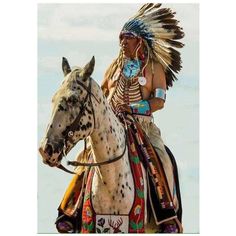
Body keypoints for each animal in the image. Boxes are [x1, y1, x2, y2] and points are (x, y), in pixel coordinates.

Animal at [39, 56, 183, 233]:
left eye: (73, 99)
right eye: (53, 99)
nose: (46, 149)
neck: (111, 180)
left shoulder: (134, 225)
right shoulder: (89, 225)